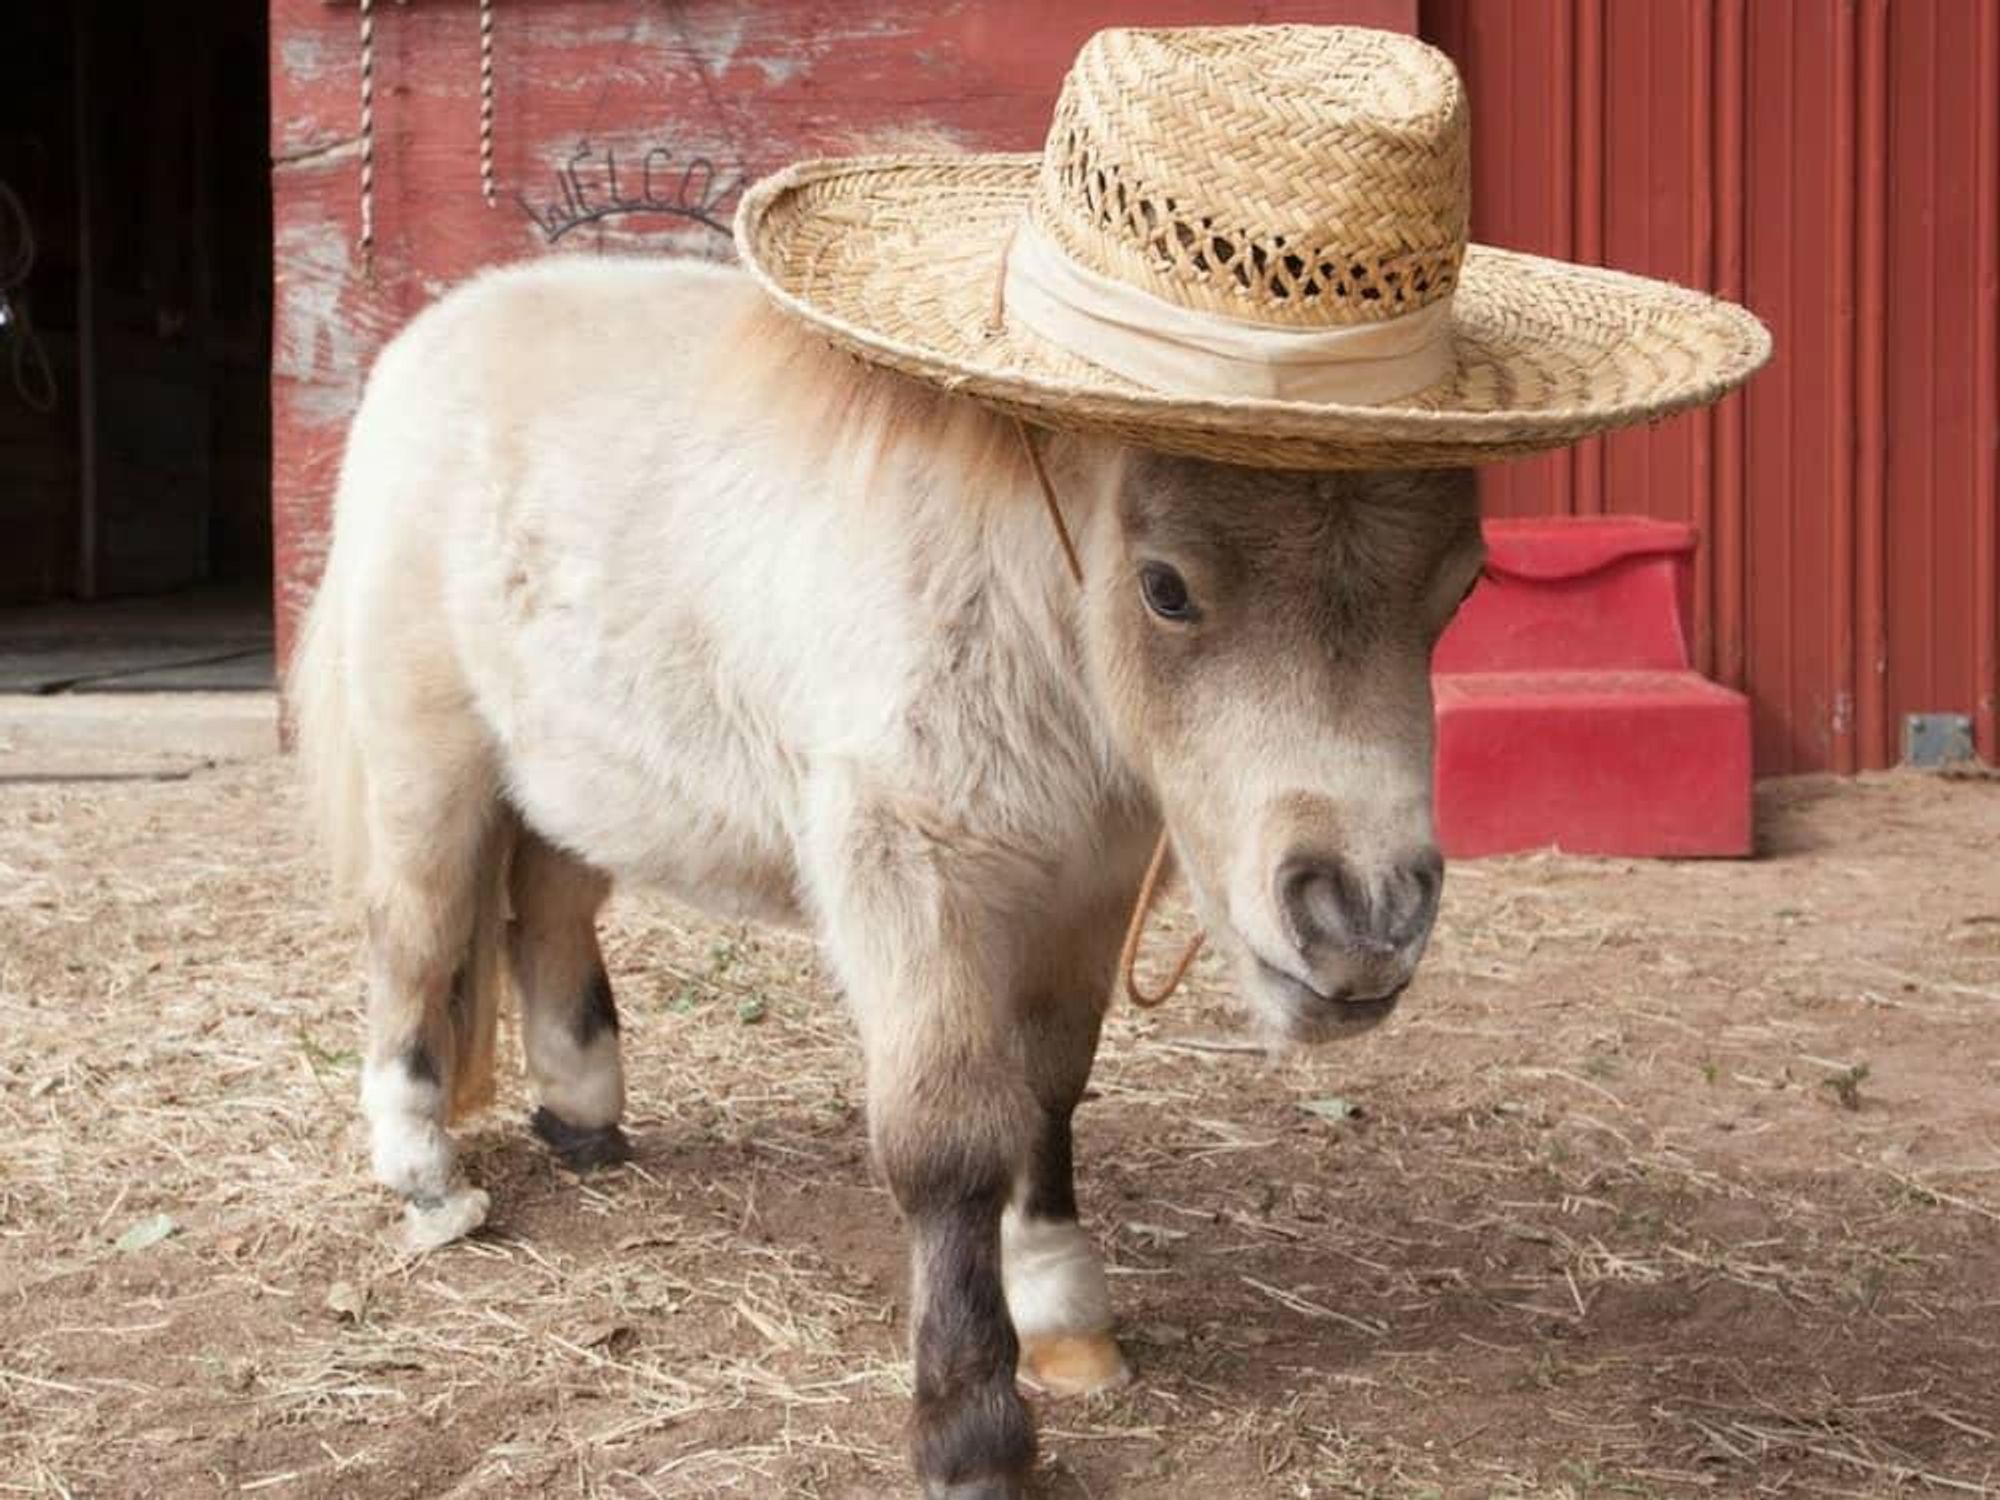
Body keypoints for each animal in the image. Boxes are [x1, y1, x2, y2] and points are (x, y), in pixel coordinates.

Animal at [290, 253, 1484, 1500]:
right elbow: (948, 1141)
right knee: (416, 932)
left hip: (567, 774)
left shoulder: (1080, 897)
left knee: (552, 914)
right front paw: (971, 1431)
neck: (1024, 627)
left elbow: (1045, 1091)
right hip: (431, 762)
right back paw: (424, 1173)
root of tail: (431, 333)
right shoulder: (911, 880)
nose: (1363, 918)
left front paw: (1062, 1311)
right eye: (1165, 587)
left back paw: (580, 1116)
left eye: (1458, 590)